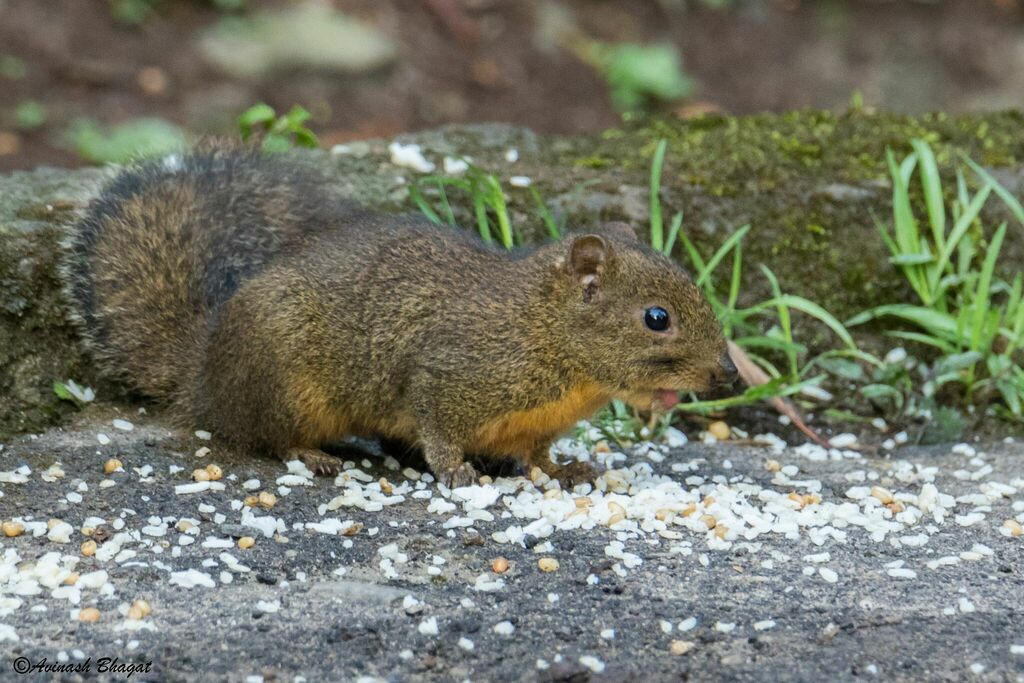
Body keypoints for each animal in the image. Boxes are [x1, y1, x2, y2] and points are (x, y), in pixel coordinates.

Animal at [63, 144, 735, 488]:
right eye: (656, 318)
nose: (727, 374)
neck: (543, 331)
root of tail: (205, 375)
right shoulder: (449, 373)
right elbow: (437, 425)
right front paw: (457, 469)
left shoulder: (537, 422)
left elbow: (538, 455)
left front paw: (564, 469)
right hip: (281, 380)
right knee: (264, 436)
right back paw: (315, 455)